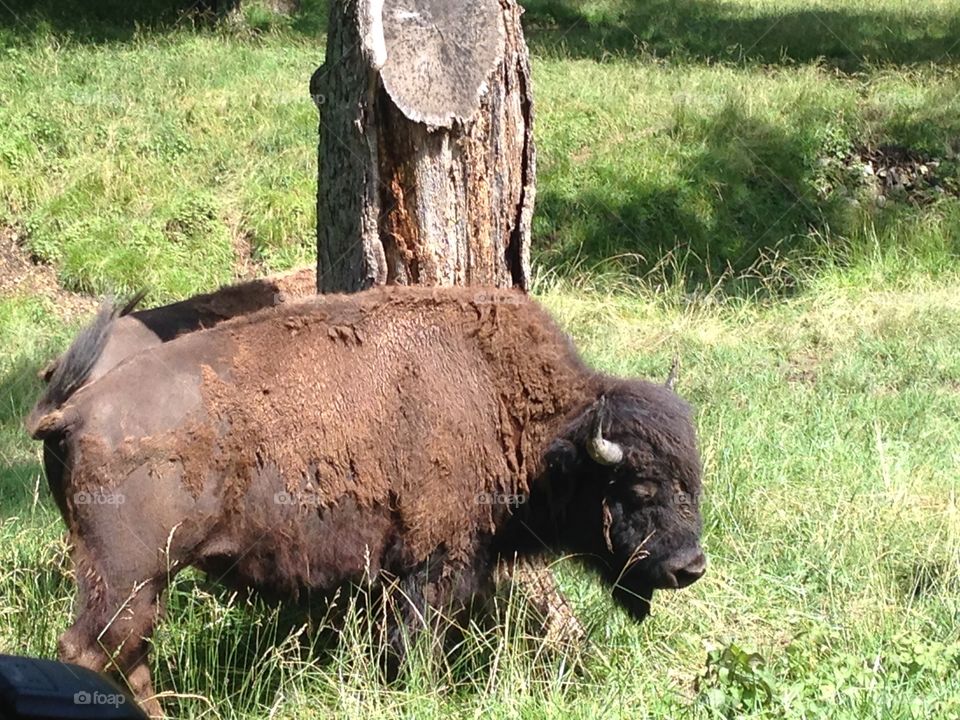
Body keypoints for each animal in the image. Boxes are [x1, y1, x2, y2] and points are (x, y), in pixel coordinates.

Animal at [28, 286, 705, 716]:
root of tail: (72, 411)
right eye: (636, 487)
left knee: (127, 652)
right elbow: (415, 643)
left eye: (692, 478)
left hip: (143, 582)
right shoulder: (429, 567)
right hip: (128, 577)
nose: (689, 566)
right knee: (95, 650)